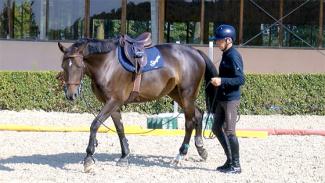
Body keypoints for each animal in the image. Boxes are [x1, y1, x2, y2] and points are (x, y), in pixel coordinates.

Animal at [57, 34, 218, 173]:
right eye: (64, 66)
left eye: (78, 66)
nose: (71, 95)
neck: (107, 63)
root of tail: (196, 52)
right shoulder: (113, 104)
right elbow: (120, 128)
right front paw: (124, 156)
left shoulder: (113, 101)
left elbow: (95, 125)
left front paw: (88, 159)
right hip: (177, 94)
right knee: (198, 114)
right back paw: (201, 148)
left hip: (186, 95)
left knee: (189, 122)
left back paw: (181, 154)